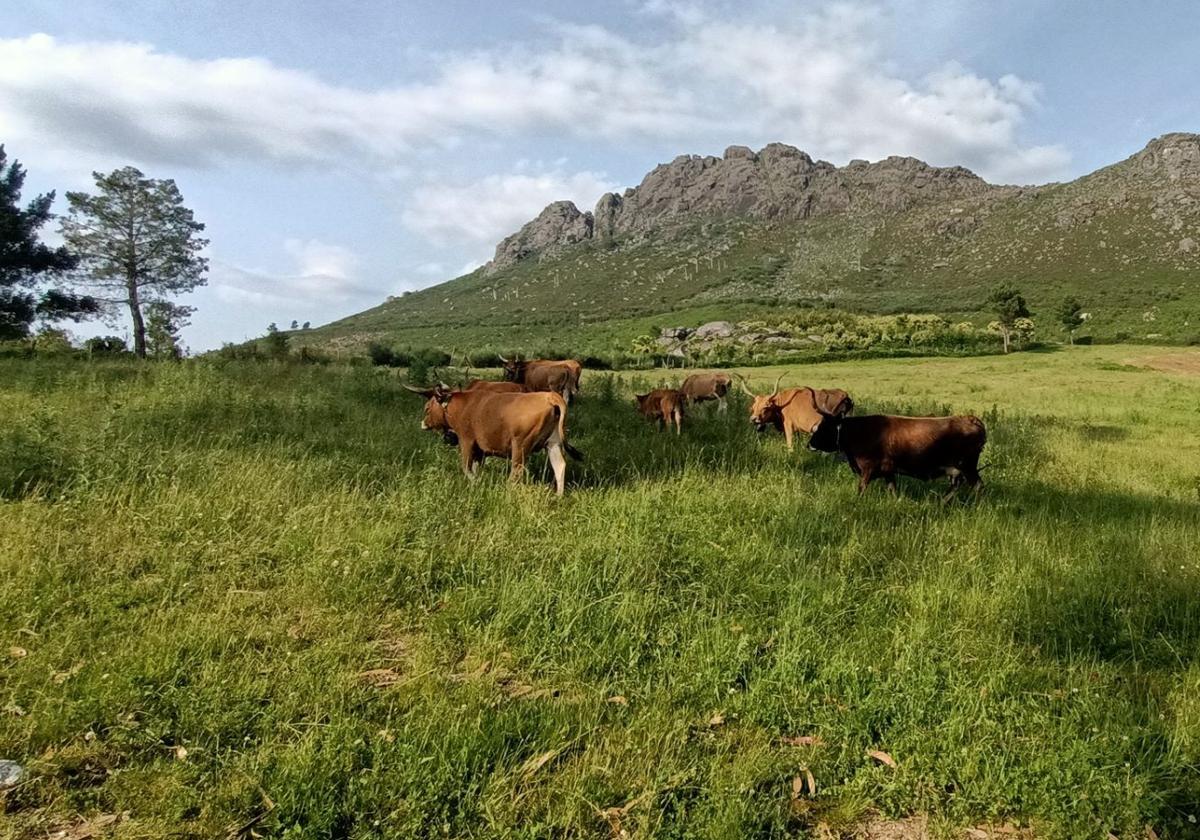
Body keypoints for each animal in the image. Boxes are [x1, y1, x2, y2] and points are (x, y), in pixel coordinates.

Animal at [806, 408, 984, 494]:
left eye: (824, 427)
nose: (809, 444)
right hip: (958, 469)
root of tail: (970, 418)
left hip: (967, 466)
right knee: (956, 486)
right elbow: (892, 491)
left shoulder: (868, 469)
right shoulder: (888, 471)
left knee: (977, 486)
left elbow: (861, 489)